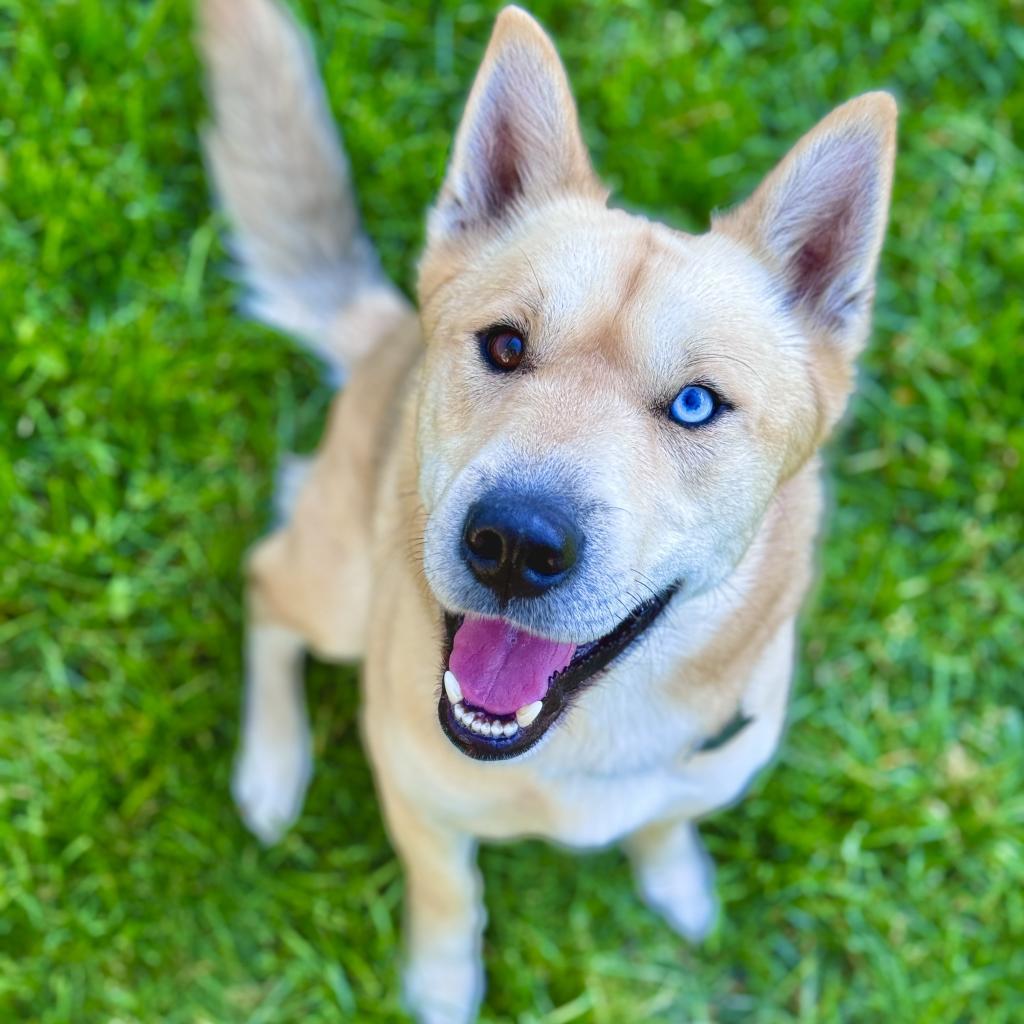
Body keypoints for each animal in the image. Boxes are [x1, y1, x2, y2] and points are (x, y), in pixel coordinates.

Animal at [197, 4, 897, 1019]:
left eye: (697, 404)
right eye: (504, 345)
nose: (514, 544)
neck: (580, 744)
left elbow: (665, 824)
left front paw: (676, 878)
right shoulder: (418, 801)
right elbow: (451, 896)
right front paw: (442, 985)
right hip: (337, 590)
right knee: (264, 588)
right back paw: (272, 763)